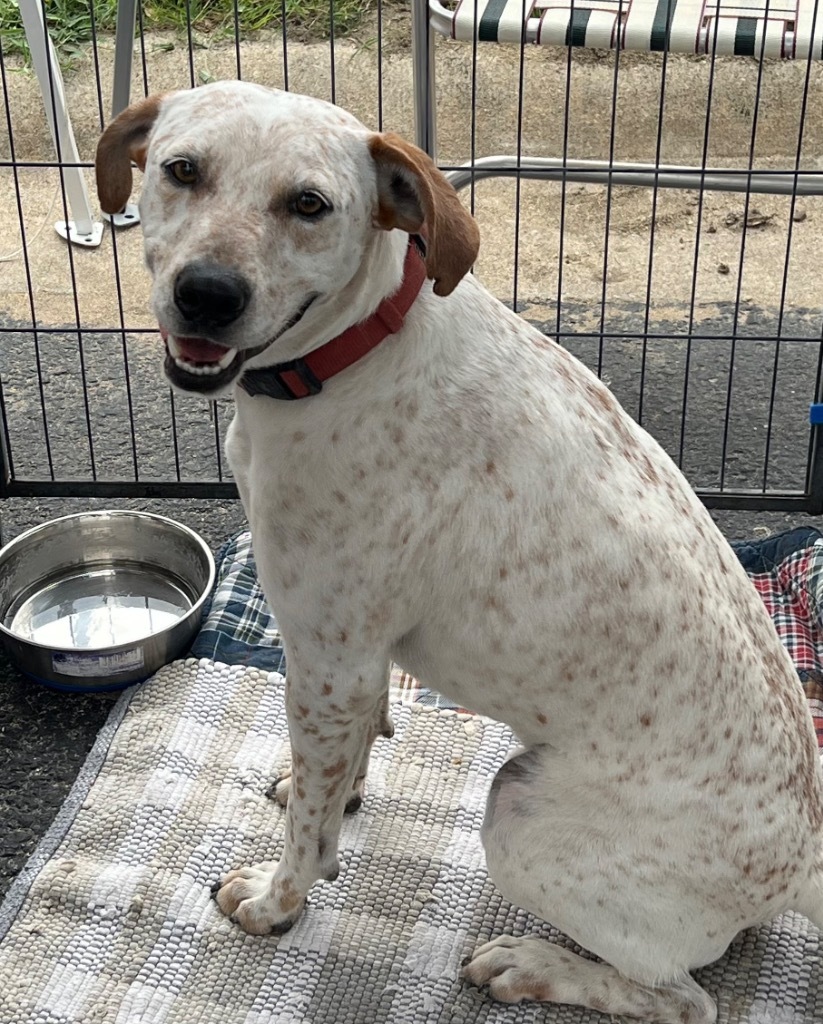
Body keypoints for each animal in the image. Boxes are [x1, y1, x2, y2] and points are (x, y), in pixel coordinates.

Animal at [99, 81, 823, 1024]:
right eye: (183, 170)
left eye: (308, 205)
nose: (207, 294)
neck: (354, 352)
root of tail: (804, 857)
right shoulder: (351, 665)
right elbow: (340, 765)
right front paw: (329, 793)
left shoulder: (327, 656)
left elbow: (305, 840)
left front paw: (275, 902)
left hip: (518, 815)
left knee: (684, 1001)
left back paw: (532, 965)